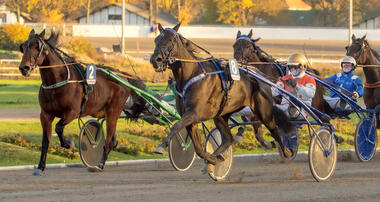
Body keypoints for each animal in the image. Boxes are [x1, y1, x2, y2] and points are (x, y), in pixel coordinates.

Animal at [17, 30, 146, 175]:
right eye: (23, 46)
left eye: (37, 46)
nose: (24, 68)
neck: (57, 82)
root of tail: (123, 76)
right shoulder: (45, 114)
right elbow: (45, 141)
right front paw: (40, 167)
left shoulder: (72, 112)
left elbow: (58, 127)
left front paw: (68, 143)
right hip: (105, 112)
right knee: (113, 138)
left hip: (114, 110)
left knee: (108, 141)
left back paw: (100, 164)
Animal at [148, 22, 294, 170]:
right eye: (156, 40)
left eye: (171, 40)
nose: (156, 59)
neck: (191, 74)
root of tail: (260, 75)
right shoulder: (190, 117)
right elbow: (198, 148)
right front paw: (212, 159)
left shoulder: (194, 113)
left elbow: (176, 126)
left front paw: (161, 146)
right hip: (221, 114)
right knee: (228, 138)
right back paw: (218, 155)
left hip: (263, 111)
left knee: (274, 129)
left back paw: (287, 151)